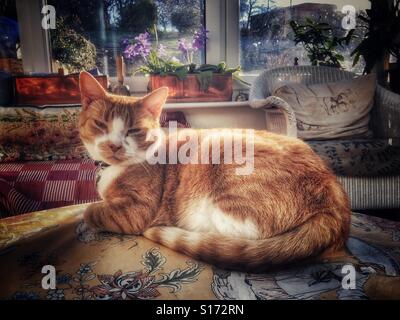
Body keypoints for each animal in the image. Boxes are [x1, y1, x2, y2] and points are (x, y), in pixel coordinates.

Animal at [78, 71, 350, 272]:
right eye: (100, 124)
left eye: (134, 130)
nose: (114, 145)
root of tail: (335, 206)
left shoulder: (137, 211)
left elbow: (91, 210)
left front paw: (88, 216)